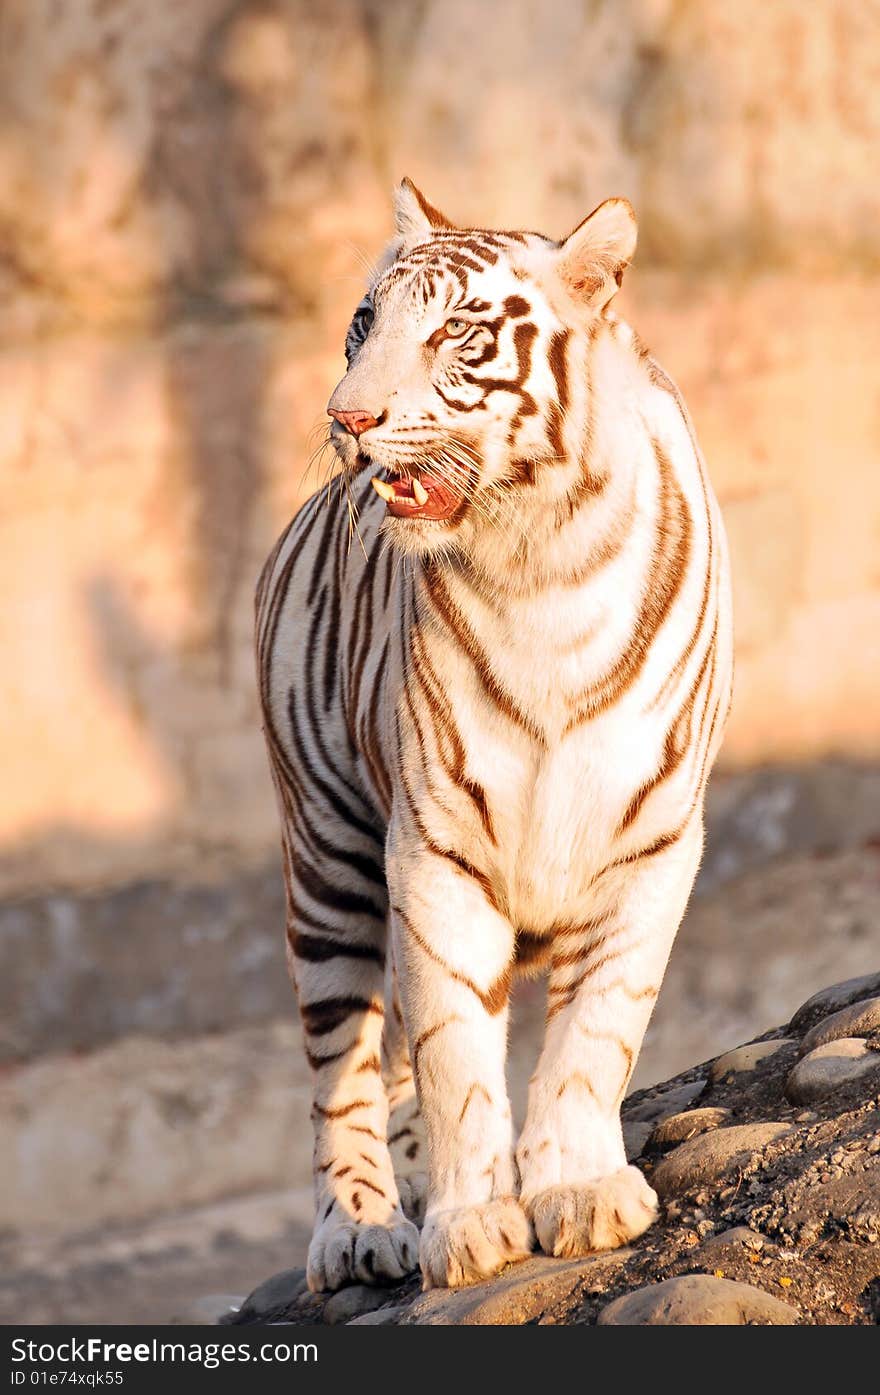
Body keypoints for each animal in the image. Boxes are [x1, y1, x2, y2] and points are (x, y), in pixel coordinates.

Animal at [256, 179, 736, 1288]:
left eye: (455, 334)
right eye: (364, 323)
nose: (346, 417)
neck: (539, 562)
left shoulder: (651, 843)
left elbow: (595, 1032)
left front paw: (580, 1191)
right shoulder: (433, 848)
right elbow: (452, 1052)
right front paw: (472, 1225)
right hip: (329, 858)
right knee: (343, 1067)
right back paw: (360, 1227)